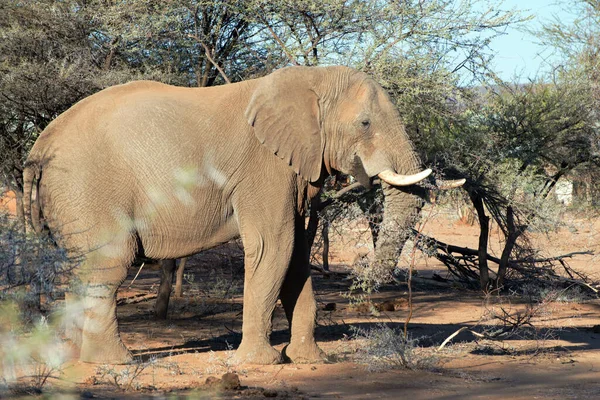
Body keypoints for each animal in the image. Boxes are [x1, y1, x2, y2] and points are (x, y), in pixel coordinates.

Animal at [23, 65, 442, 366]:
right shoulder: (264, 168)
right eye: (365, 123)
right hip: (87, 189)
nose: (364, 283)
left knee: (76, 270)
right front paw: (260, 363)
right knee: (109, 263)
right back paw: (115, 362)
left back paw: (73, 359)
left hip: (70, 199)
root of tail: (39, 147)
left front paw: (310, 360)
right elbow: (274, 246)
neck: (310, 78)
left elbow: (296, 255)